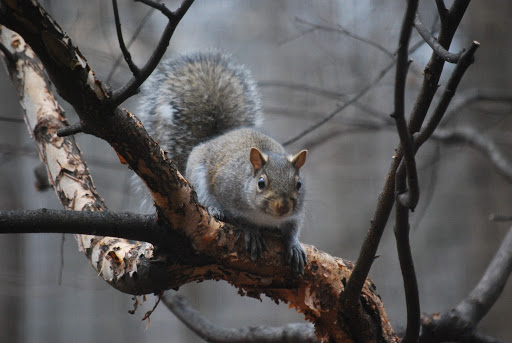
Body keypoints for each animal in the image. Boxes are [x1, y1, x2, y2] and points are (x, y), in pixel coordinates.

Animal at [135, 51, 308, 276]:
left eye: (299, 184)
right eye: (261, 183)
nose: (283, 207)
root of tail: (214, 138)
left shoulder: (296, 212)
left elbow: (294, 227)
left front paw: (294, 244)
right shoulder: (226, 188)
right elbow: (239, 218)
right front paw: (251, 230)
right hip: (198, 181)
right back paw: (215, 211)